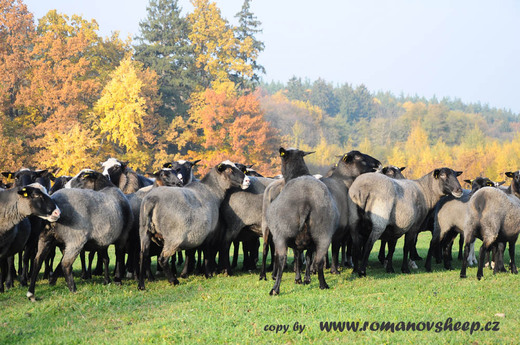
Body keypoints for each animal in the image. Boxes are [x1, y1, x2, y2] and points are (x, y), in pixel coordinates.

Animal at [137, 160, 251, 288]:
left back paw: (141, 285)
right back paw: (173, 280)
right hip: (173, 237)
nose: (247, 181)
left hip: (144, 232)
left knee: (143, 256)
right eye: (229, 170)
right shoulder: (209, 234)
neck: (212, 191)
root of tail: (152, 200)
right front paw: (208, 274)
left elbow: (191, 253)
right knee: (162, 259)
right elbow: (207, 254)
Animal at [264, 146, 338, 294]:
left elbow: (297, 257)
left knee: (282, 260)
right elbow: (308, 258)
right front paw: (307, 279)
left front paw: (298, 279)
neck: (299, 173)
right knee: (319, 260)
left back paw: (275, 289)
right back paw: (323, 285)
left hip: (281, 234)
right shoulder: (308, 241)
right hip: (324, 233)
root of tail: (306, 202)